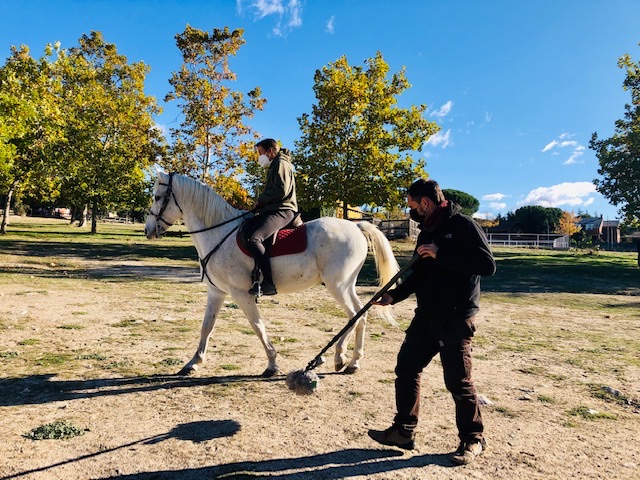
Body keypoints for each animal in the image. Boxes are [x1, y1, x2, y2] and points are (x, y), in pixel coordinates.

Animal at [144, 171, 400, 377]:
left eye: (157, 197)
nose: (148, 230)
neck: (219, 233)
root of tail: (355, 226)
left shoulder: (241, 294)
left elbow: (258, 326)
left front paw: (272, 364)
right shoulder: (216, 292)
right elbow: (207, 326)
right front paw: (193, 363)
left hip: (337, 286)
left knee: (354, 316)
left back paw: (339, 357)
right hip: (345, 286)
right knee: (360, 316)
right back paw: (353, 362)